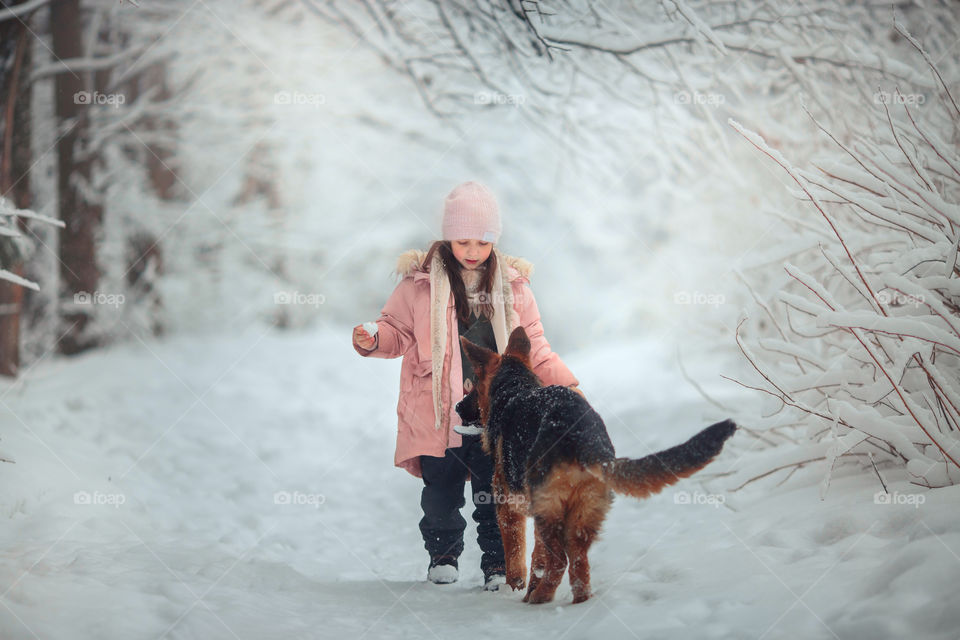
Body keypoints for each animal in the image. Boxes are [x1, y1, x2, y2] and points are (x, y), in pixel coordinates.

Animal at [458, 328, 736, 604]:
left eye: (474, 387)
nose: (458, 407)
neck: (515, 387)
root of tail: (582, 436)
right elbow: (538, 558)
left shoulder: (508, 511)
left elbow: (516, 558)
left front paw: (516, 589)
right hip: (579, 514)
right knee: (578, 564)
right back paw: (574, 600)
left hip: (552, 514)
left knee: (560, 562)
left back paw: (541, 598)